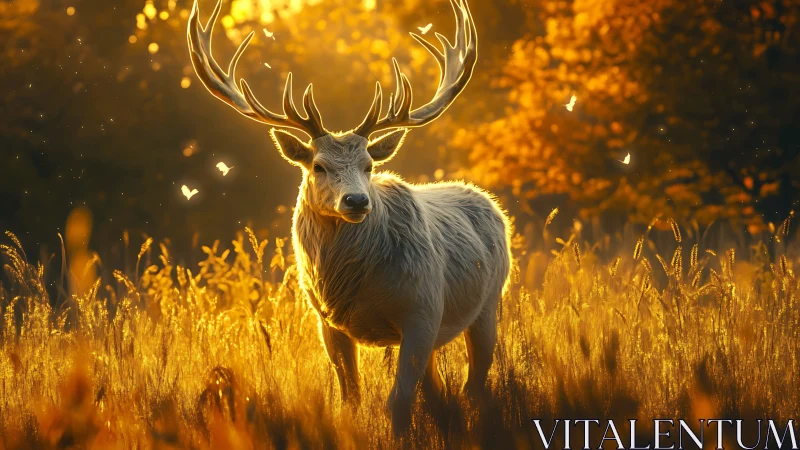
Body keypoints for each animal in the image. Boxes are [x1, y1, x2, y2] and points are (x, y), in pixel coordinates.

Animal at [188, 0, 511, 435]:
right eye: (318, 165)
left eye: (369, 165)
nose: (356, 201)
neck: (356, 290)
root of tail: (490, 203)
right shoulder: (328, 323)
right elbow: (351, 399)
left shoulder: (422, 309)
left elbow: (398, 401)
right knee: (440, 390)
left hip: (489, 301)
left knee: (474, 384)